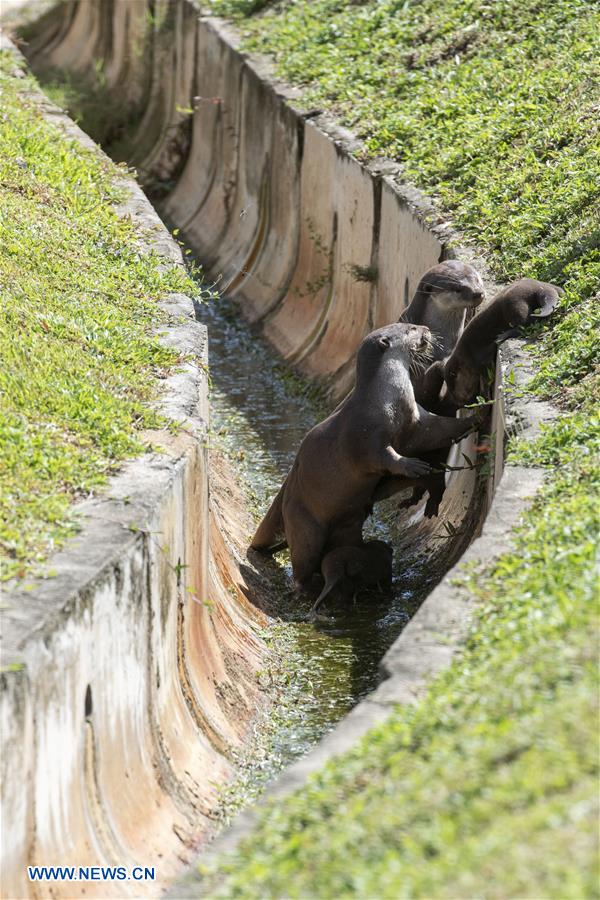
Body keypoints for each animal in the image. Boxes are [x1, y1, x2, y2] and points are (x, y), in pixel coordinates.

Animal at [250, 320, 478, 588]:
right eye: (409, 329)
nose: (425, 328)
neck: (384, 397)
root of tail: (287, 491)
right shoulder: (365, 436)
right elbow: (383, 457)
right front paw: (413, 465)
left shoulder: (416, 422)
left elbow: (440, 428)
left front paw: (475, 418)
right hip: (304, 525)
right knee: (302, 564)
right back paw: (307, 586)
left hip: (345, 527)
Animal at [446, 276, 564, 406]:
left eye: (453, 390)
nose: (459, 402)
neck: (465, 358)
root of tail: (540, 287)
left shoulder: (478, 359)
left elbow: (486, 376)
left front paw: (486, 397)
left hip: (514, 302)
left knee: (524, 323)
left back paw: (502, 336)